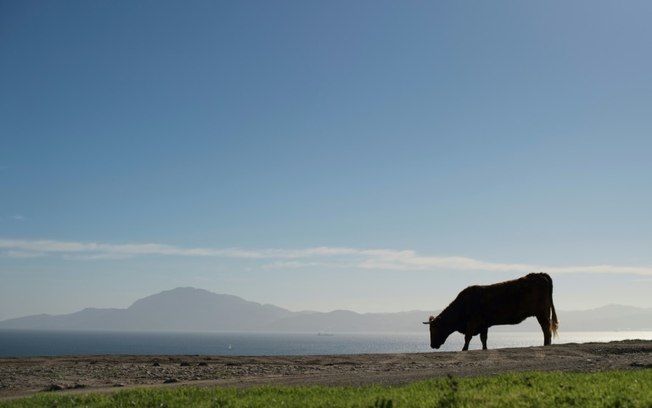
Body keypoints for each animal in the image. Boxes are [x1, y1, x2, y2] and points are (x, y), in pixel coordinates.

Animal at [426, 270, 556, 350]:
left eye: (434, 329)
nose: (432, 345)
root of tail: (539, 274)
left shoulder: (472, 322)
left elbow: (468, 337)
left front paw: (464, 349)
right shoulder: (484, 324)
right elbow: (483, 339)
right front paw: (484, 349)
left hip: (542, 313)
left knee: (546, 329)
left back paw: (546, 345)